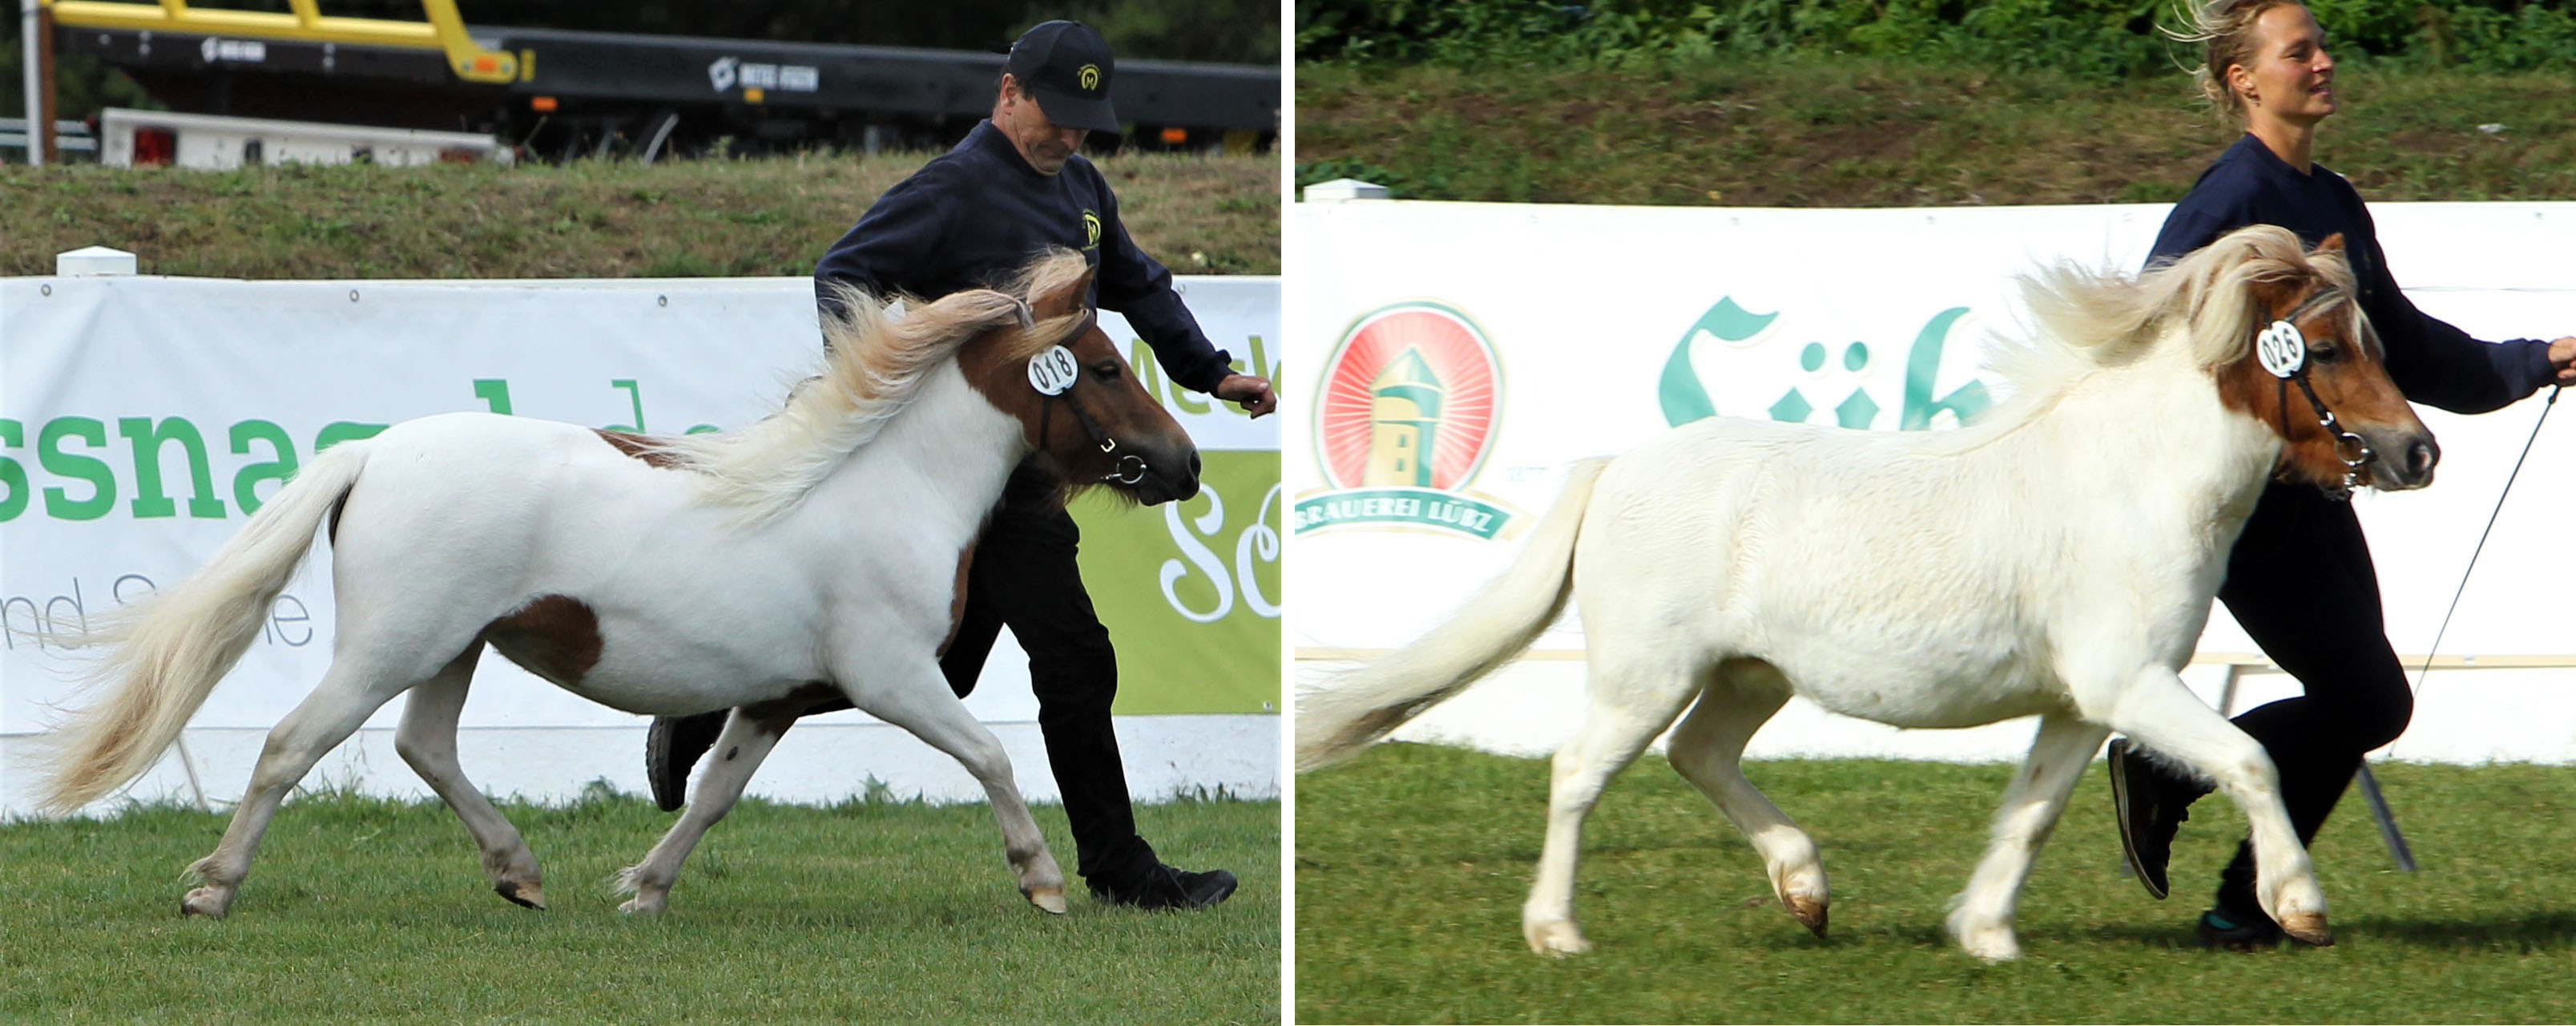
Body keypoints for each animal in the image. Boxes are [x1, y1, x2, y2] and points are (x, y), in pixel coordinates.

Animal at [32, 249, 1195, 923]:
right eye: (1101, 368)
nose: (1182, 465)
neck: (887, 490)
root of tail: (372, 453)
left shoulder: (778, 697)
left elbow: (714, 791)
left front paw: (642, 887)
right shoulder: (891, 678)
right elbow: (991, 754)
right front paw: (1041, 879)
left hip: (451, 646)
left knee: (424, 748)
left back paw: (517, 869)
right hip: (391, 646)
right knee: (291, 745)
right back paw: (215, 887)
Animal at [1298, 224, 2441, 963]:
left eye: (2379, 343)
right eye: (2325, 348)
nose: (2415, 451)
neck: (2132, 478)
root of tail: (1616, 465)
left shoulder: (2083, 701)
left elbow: (2032, 811)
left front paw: (1983, 934)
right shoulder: (2129, 681)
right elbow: (2250, 759)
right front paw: (2298, 906)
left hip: (1747, 675)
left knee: (1698, 755)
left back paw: (1805, 893)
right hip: (1645, 672)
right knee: (1579, 770)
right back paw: (1556, 931)